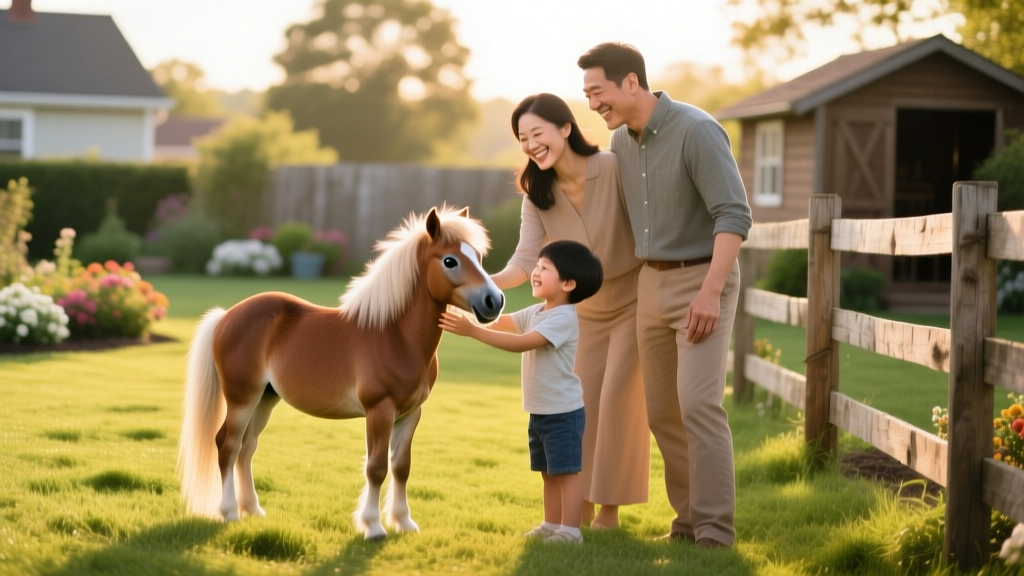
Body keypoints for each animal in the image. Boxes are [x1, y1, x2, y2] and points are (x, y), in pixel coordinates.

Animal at [177, 206, 504, 540]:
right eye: (450, 260)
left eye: (478, 256)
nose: (494, 301)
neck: (394, 336)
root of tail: (226, 316)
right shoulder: (380, 411)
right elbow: (376, 468)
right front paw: (373, 527)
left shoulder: (411, 414)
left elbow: (402, 467)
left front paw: (404, 522)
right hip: (242, 398)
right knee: (227, 445)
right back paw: (230, 512)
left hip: (265, 399)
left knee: (247, 448)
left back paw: (253, 510)